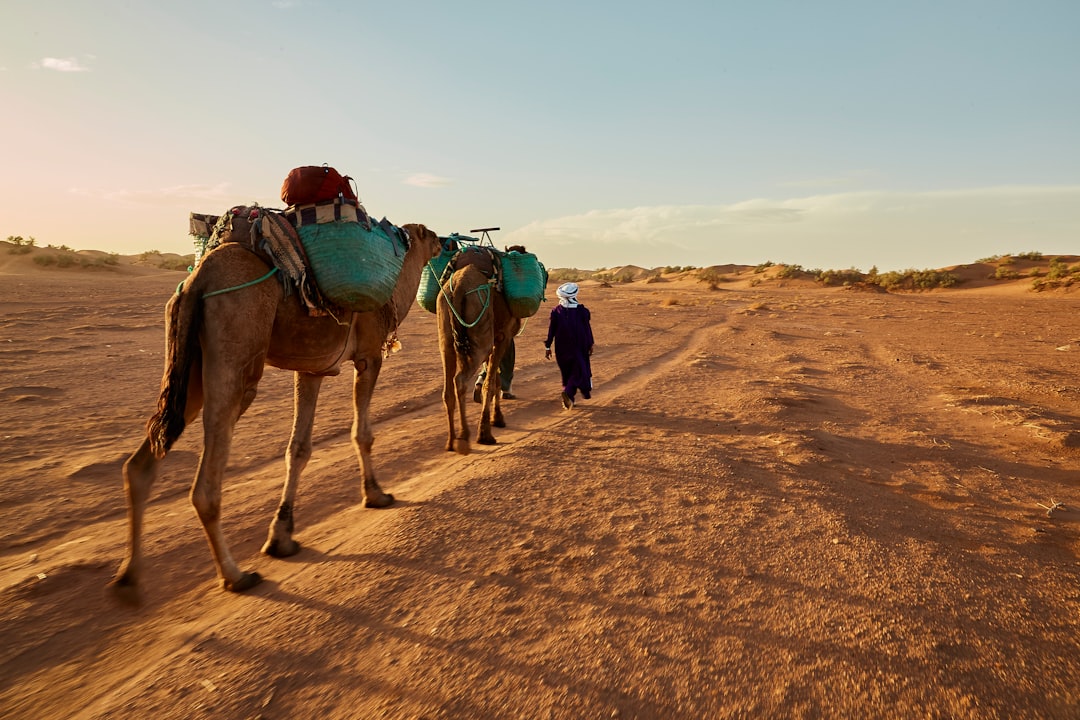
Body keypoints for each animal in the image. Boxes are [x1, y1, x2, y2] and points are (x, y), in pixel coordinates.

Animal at [109, 207, 442, 595]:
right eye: (430, 234)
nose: (443, 242)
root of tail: (198, 280)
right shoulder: (370, 356)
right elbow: (362, 433)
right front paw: (375, 495)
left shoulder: (313, 368)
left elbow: (298, 449)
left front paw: (281, 536)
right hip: (237, 350)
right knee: (205, 487)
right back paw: (235, 575)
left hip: (189, 367)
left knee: (140, 463)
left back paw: (129, 576)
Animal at [438, 254, 522, 455]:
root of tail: (459, 286)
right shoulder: (502, 337)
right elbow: (490, 384)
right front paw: (486, 433)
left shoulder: (496, 340)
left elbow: (494, 379)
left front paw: (497, 418)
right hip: (480, 330)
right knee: (460, 379)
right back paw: (464, 438)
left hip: (446, 335)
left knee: (447, 389)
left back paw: (451, 441)